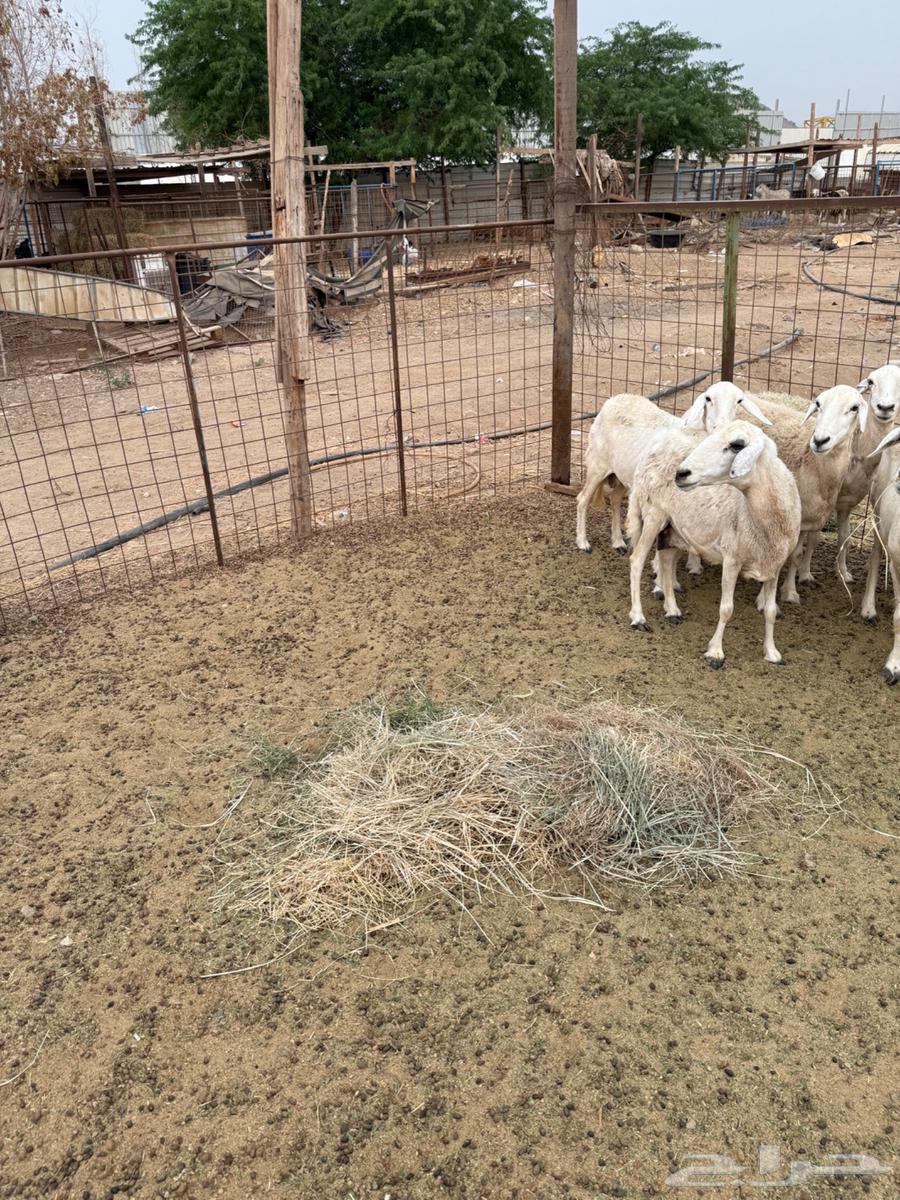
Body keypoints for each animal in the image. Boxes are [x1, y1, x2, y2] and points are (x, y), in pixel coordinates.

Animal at [625, 420, 801, 666]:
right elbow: (726, 609)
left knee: (666, 561)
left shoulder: (774, 564)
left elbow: (770, 611)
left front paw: (772, 652)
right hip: (653, 514)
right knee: (637, 560)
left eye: (737, 445)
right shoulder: (732, 558)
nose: (681, 473)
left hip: (675, 527)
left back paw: (672, 609)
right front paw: (715, 653)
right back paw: (638, 617)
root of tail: (655, 445)